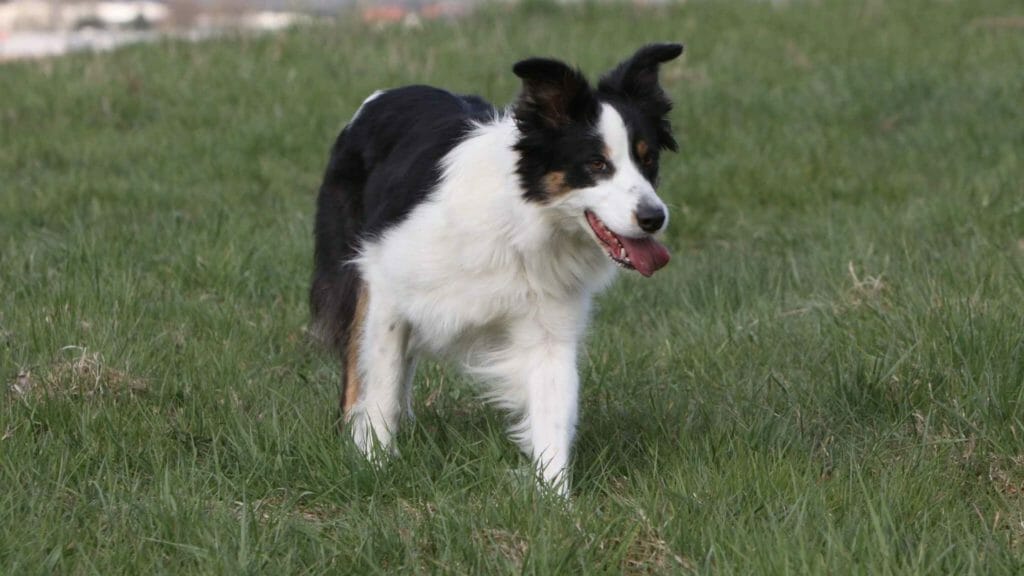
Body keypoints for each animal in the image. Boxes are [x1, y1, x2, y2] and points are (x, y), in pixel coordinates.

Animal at [309, 43, 679, 494]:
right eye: (596, 164)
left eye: (648, 159)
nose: (654, 218)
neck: (521, 220)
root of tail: (383, 95)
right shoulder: (386, 285)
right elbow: (378, 379)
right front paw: (373, 463)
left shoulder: (549, 321)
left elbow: (553, 408)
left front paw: (554, 498)